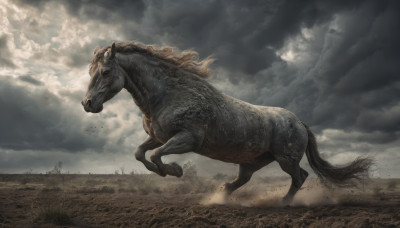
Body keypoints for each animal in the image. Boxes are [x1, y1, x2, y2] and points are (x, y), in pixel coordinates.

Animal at [81, 41, 372, 203]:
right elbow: (140, 153)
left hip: (285, 159)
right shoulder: (158, 136)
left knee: (300, 176)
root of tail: (300, 122)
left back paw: (283, 202)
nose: (87, 104)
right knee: (243, 180)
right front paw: (165, 172)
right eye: (91, 71)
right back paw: (222, 193)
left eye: (105, 72)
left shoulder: (187, 138)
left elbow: (155, 155)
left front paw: (175, 171)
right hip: (253, 161)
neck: (169, 93)